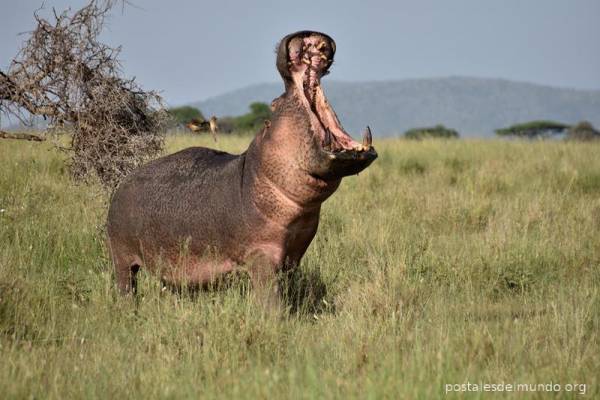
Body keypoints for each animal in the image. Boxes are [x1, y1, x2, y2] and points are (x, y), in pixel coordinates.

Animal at [107, 31, 378, 306]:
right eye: (274, 103)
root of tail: (121, 185)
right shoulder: (263, 254)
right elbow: (270, 296)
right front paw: (275, 315)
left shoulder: (293, 254)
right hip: (121, 256)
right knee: (126, 283)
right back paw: (128, 307)